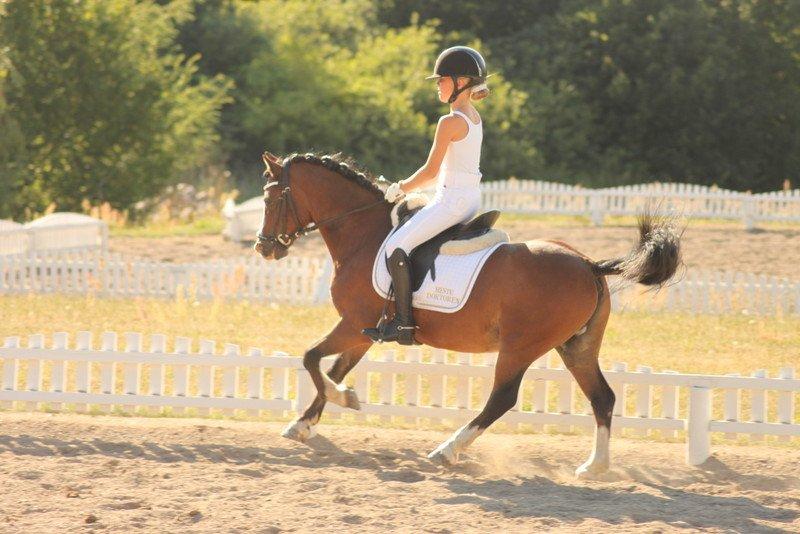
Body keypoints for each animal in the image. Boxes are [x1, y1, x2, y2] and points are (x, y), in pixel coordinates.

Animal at [255, 151, 681, 477]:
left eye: (270, 198)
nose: (264, 248)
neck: (363, 233)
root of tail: (588, 264)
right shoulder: (364, 331)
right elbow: (334, 367)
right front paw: (304, 423)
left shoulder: (352, 324)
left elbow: (312, 359)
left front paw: (344, 399)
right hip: (576, 348)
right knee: (602, 397)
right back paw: (594, 467)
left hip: (520, 347)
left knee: (502, 399)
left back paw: (446, 450)